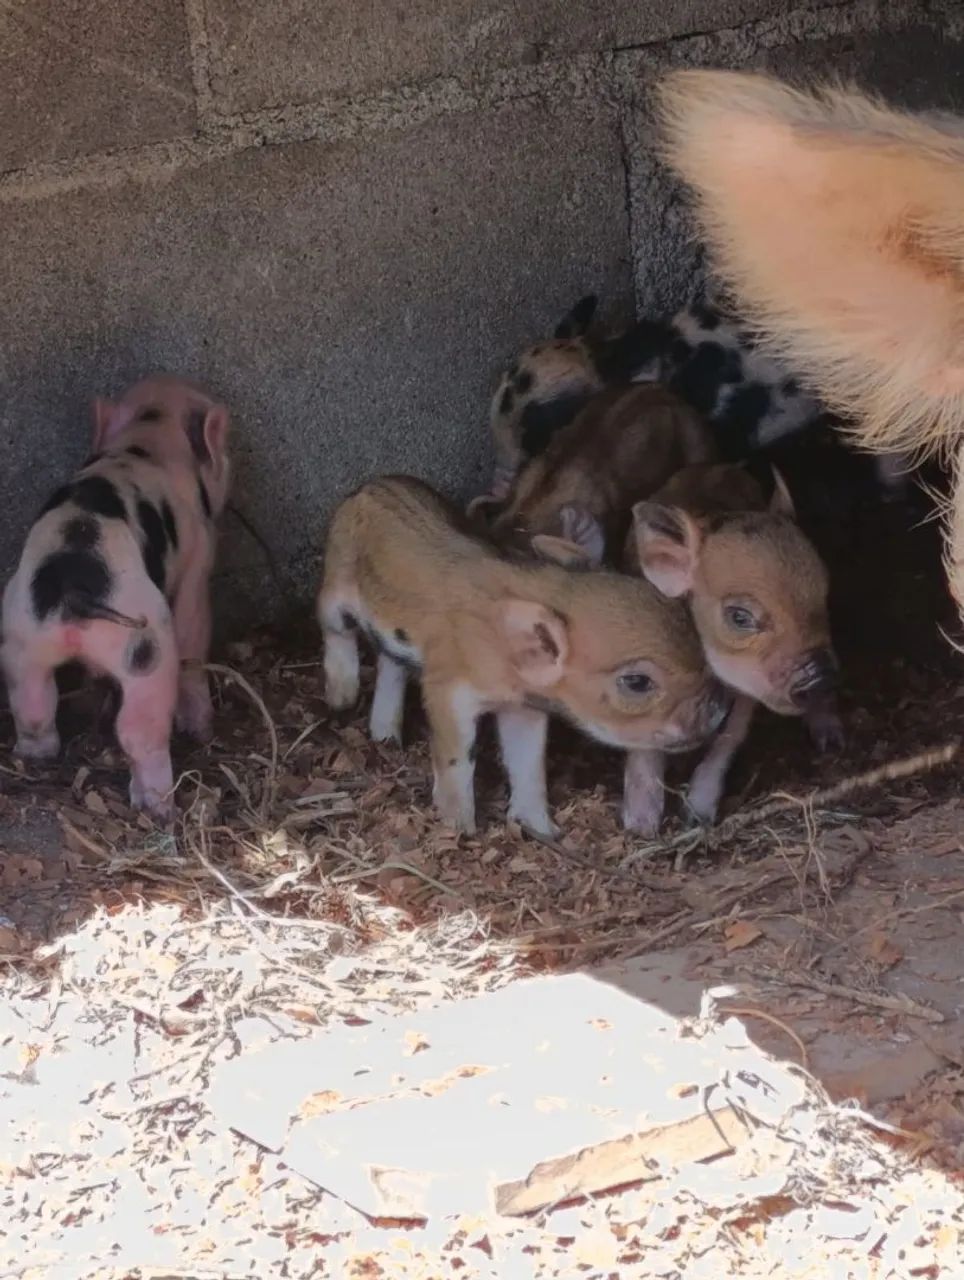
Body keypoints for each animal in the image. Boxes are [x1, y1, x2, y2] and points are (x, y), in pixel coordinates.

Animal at [1, 376, 230, 819]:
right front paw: (201, 728)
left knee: (34, 705)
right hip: (146, 647)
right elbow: (195, 631)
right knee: (139, 731)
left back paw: (35, 756)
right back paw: (159, 806)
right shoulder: (198, 559)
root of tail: (74, 589)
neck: (147, 435)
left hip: (22, 634)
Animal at [318, 475, 730, 837]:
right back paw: (341, 697)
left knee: (391, 663)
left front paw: (542, 830)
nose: (721, 708)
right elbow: (457, 759)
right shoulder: (447, 689)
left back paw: (385, 736)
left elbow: (528, 764)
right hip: (335, 584)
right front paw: (460, 828)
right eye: (636, 681)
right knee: (336, 628)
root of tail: (365, 487)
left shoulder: (523, 707)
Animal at [627, 462, 840, 825]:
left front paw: (698, 814)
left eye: (823, 597)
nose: (819, 676)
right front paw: (640, 824)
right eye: (739, 617)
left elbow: (730, 736)